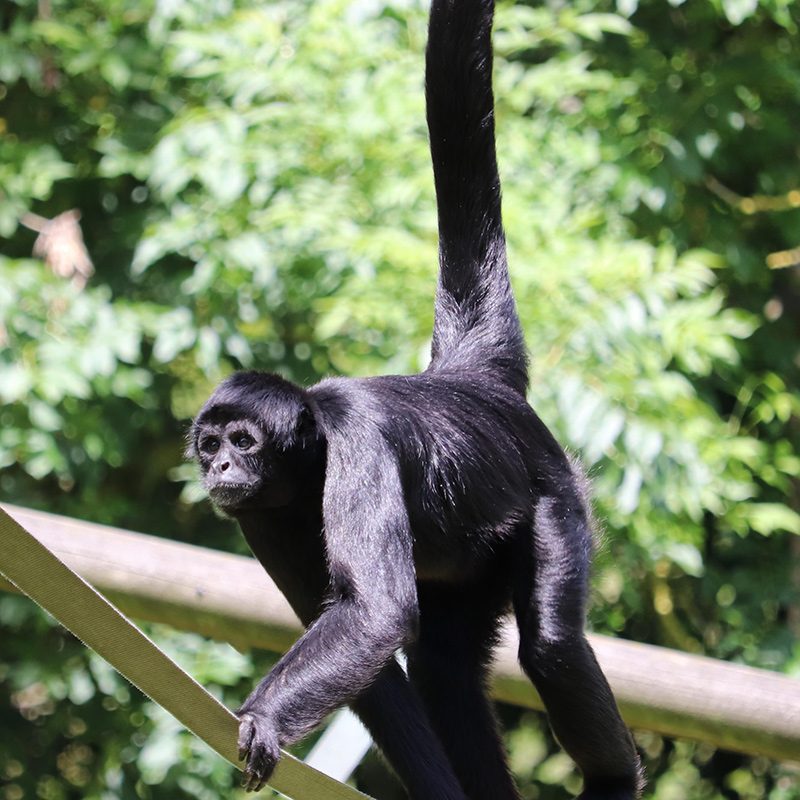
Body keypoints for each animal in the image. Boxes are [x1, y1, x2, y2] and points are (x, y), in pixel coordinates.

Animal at [191, 3, 648, 796]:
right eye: (210, 444)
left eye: (243, 441)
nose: (220, 468)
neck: (312, 458)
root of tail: (471, 379)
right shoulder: (261, 514)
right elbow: (377, 668)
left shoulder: (359, 440)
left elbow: (374, 615)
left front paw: (263, 719)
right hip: (467, 563)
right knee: (445, 673)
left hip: (552, 496)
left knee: (551, 646)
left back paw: (616, 776)